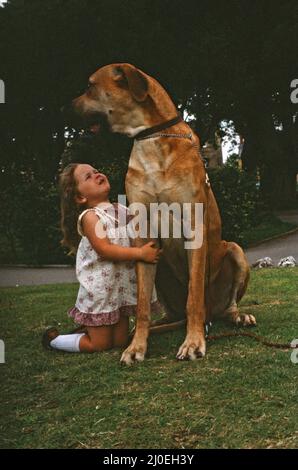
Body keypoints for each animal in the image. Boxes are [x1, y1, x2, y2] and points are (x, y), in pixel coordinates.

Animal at [71, 63, 256, 364]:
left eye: (90, 86)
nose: (68, 107)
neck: (152, 138)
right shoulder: (144, 236)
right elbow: (143, 305)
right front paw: (136, 346)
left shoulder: (194, 228)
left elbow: (194, 296)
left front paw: (193, 342)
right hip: (162, 270)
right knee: (168, 311)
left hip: (234, 251)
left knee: (225, 305)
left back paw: (237, 316)